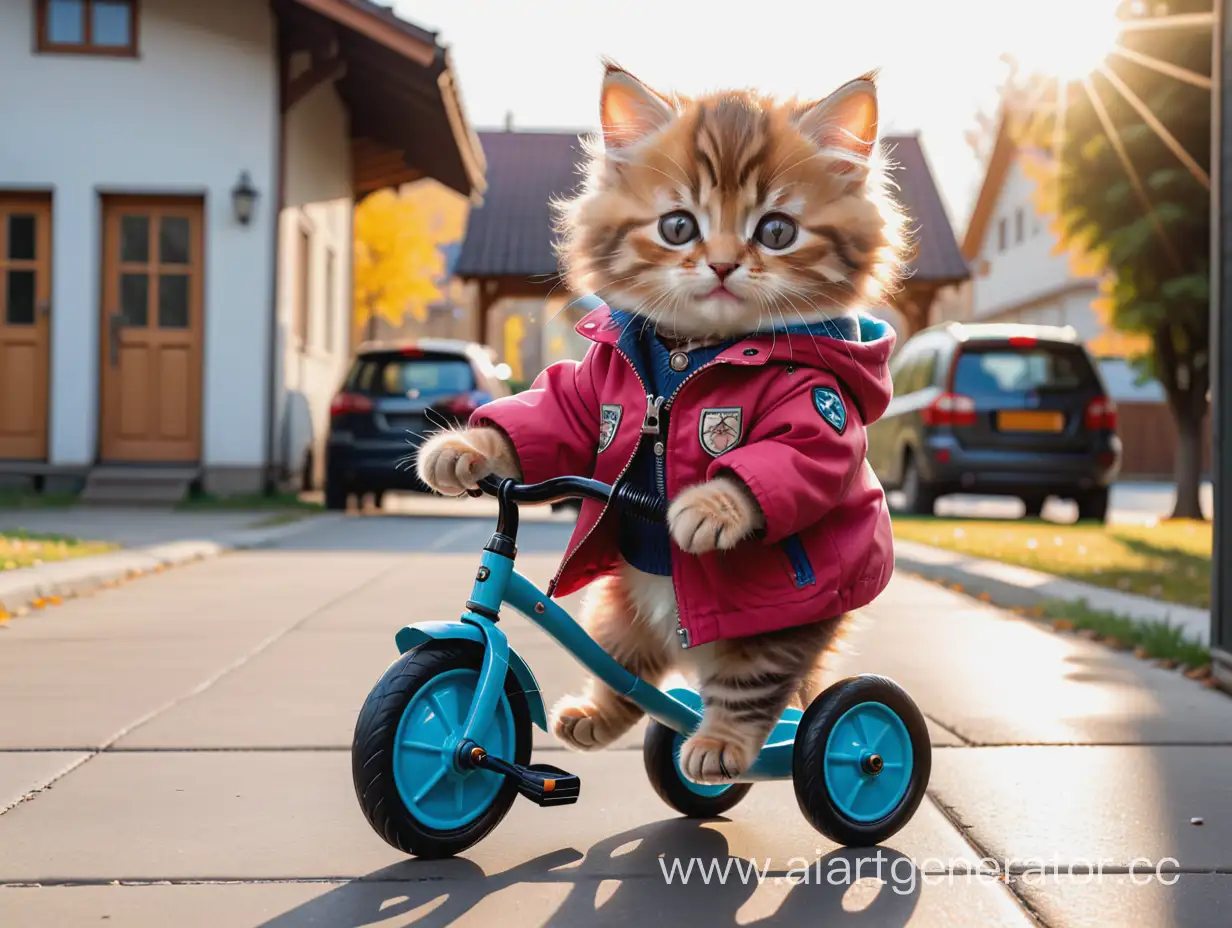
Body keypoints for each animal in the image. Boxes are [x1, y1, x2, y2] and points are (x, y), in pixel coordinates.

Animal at [418, 61, 911, 778]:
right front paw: (464, 449)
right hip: (620, 606)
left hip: (775, 631)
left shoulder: (819, 403)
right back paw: (598, 716)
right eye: (678, 227)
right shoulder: (593, 383)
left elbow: (797, 457)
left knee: (761, 696)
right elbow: (548, 413)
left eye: (777, 232)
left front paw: (711, 506)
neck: (692, 351)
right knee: (635, 676)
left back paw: (722, 746)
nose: (725, 263)